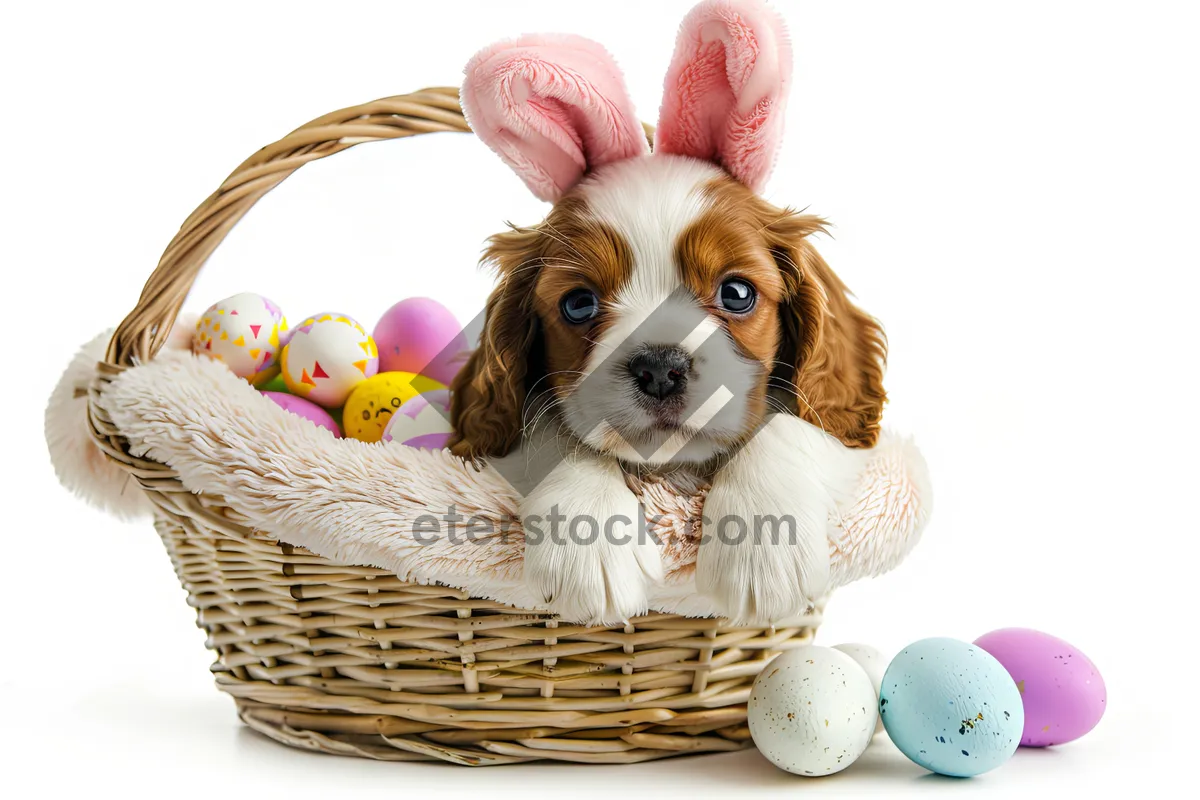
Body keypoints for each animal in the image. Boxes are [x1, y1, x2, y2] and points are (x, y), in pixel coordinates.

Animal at [448, 0, 883, 623]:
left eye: (737, 293)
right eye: (578, 304)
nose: (659, 369)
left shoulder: (852, 436)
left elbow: (791, 424)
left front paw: (764, 545)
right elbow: (559, 434)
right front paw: (591, 537)